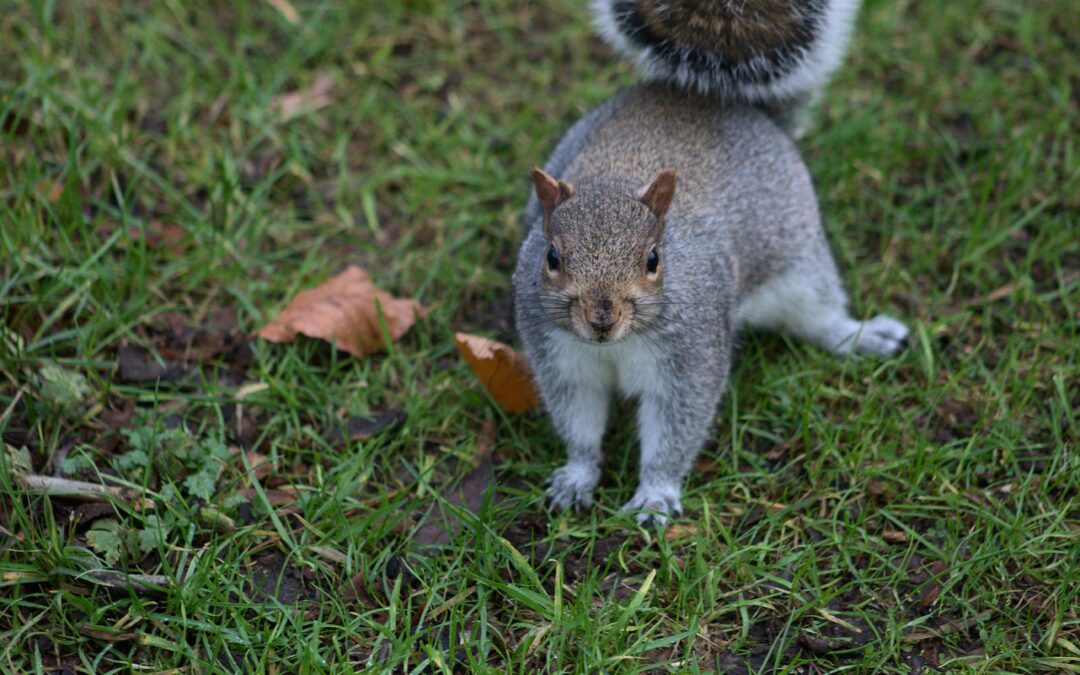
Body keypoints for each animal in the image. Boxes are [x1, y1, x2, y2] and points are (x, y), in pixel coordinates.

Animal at [512, 84, 908, 524]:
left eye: (653, 259)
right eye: (551, 257)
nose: (602, 319)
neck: (617, 345)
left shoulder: (690, 359)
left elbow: (675, 430)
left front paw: (654, 495)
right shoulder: (562, 360)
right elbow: (578, 423)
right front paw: (577, 477)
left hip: (800, 265)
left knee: (821, 317)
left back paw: (863, 336)